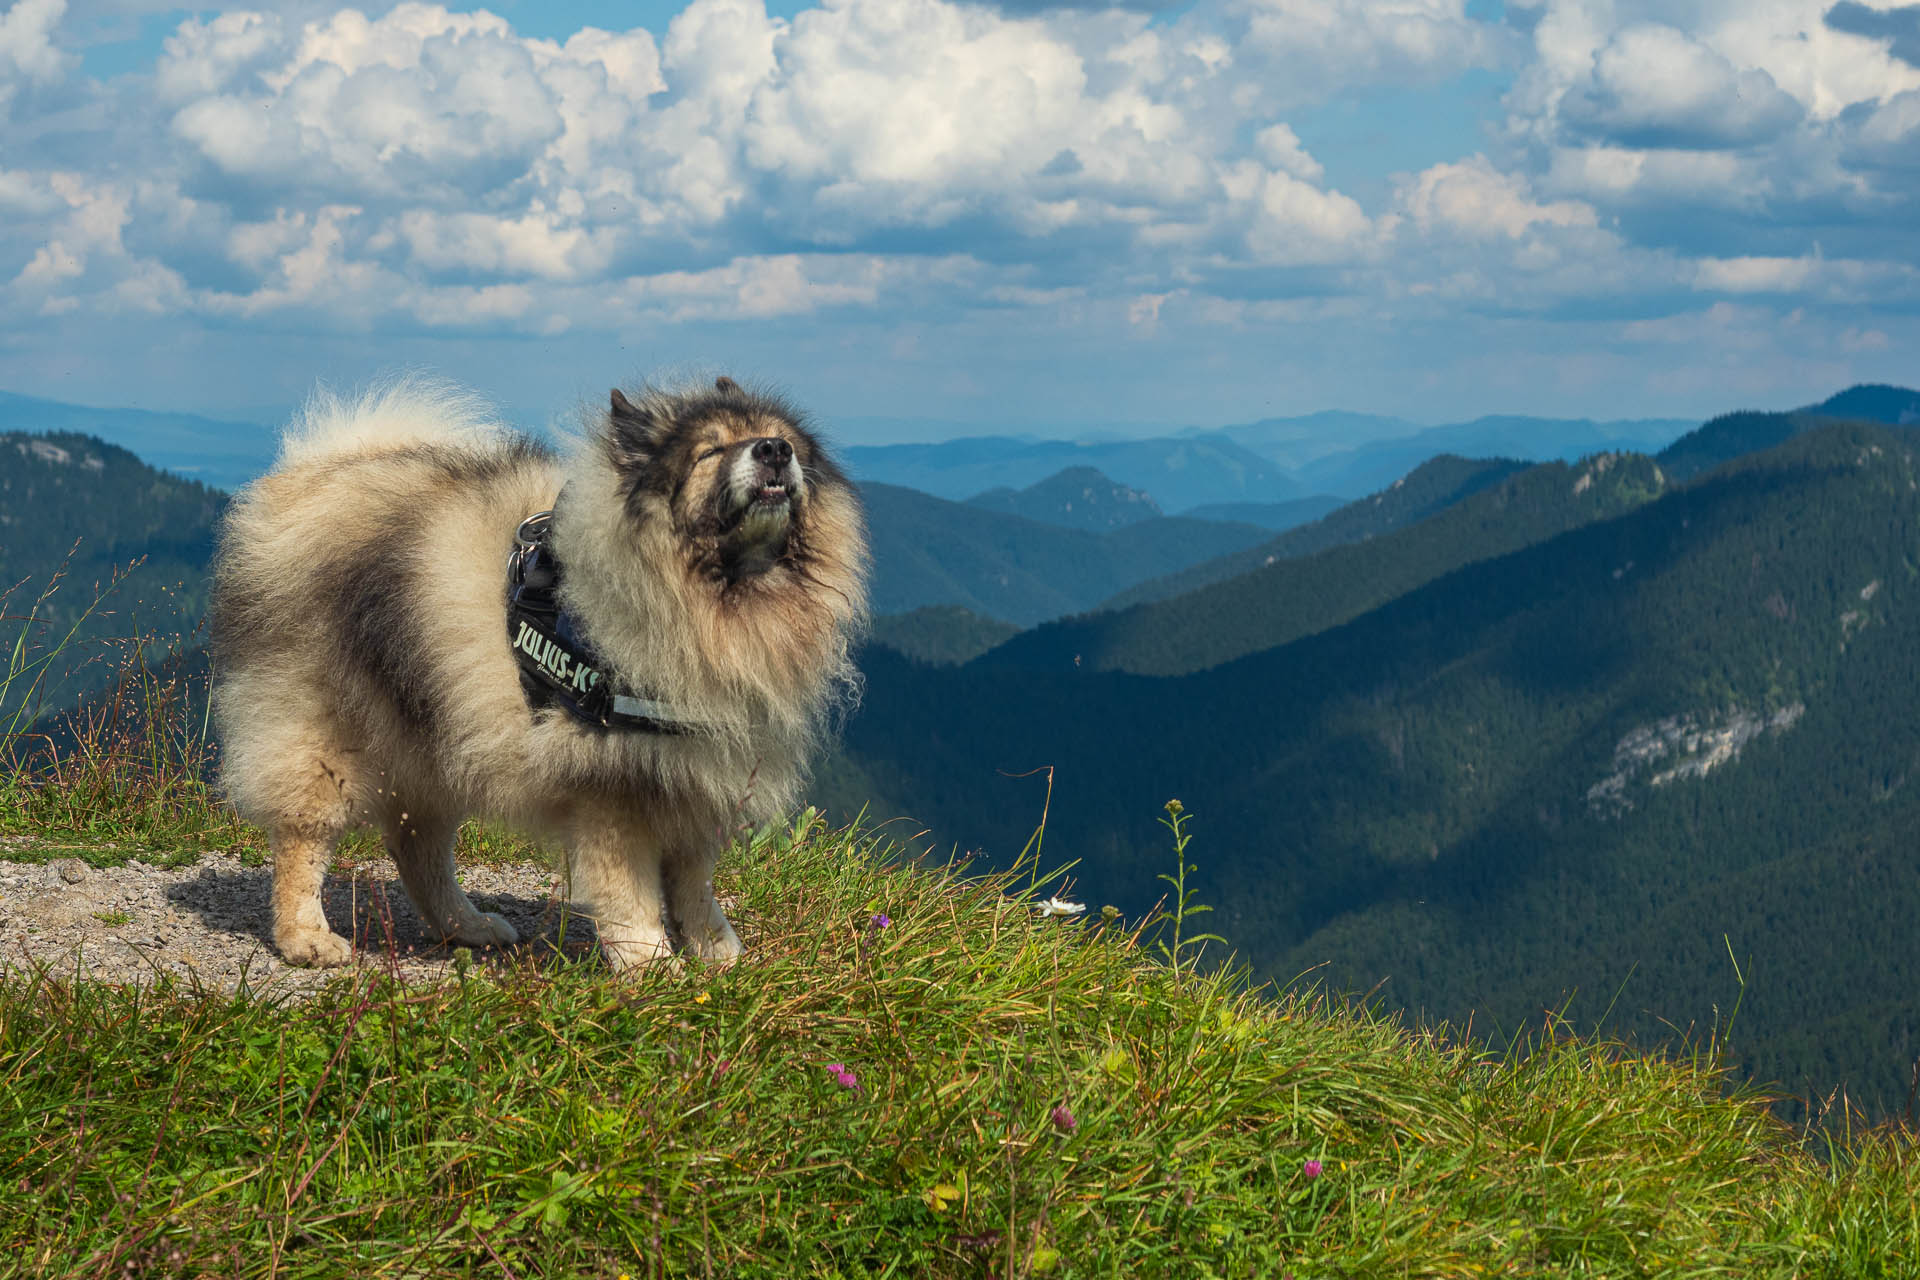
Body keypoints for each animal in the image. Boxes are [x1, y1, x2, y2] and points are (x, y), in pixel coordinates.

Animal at [212, 379, 871, 971]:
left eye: (785, 442)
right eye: (710, 452)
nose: (773, 451)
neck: (720, 596)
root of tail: (317, 470)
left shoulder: (693, 770)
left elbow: (693, 884)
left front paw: (716, 952)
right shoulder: (615, 787)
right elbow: (631, 895)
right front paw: (654, 967)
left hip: (440, 729)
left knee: (418, 845)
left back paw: (466, 926)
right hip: (326, 728)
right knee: (304, 833)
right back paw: (306, 938)